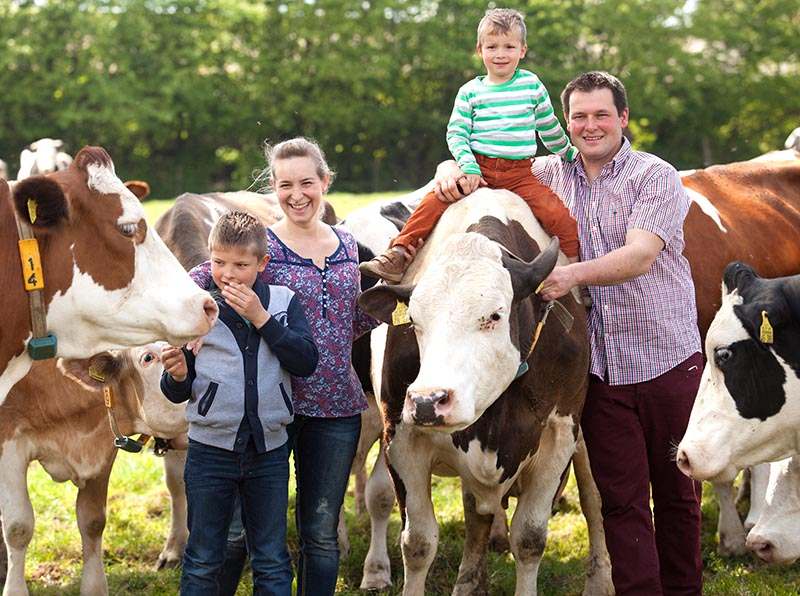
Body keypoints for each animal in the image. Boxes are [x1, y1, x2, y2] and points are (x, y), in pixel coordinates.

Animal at [0, 344, 189, 596]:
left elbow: (92, 521)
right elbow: (18, 527)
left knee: (177, 483)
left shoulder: (104, 448)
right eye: (148, 357)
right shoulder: (9, 441)